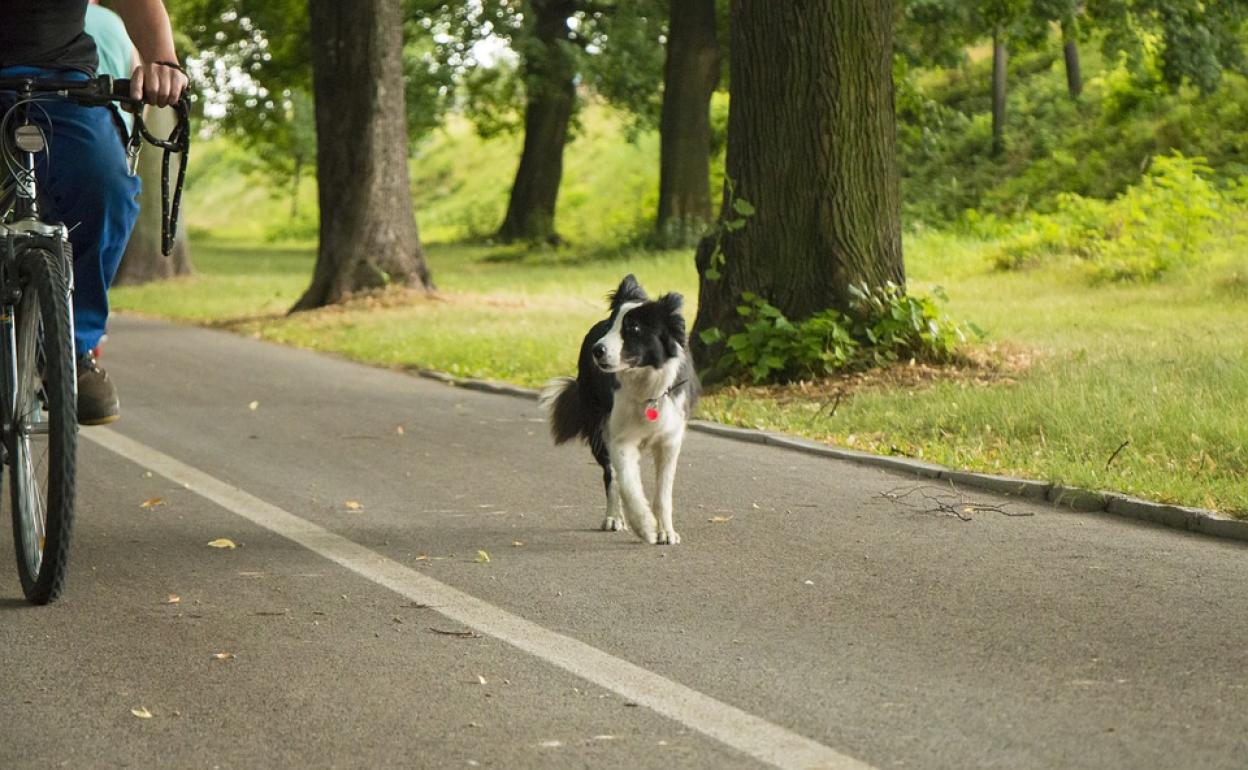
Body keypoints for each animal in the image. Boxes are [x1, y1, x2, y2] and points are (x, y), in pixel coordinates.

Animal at [539, 273, 703, 544]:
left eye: (633, 328)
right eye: (610, 326)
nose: (597, 350)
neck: (646, 387)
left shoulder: (670, 439)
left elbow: (663, 494)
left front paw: (666, 532)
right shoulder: (619, 438)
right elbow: (627, 484)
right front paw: (645, 525)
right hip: (598, 427)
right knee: (611, 475)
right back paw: (614, 517)